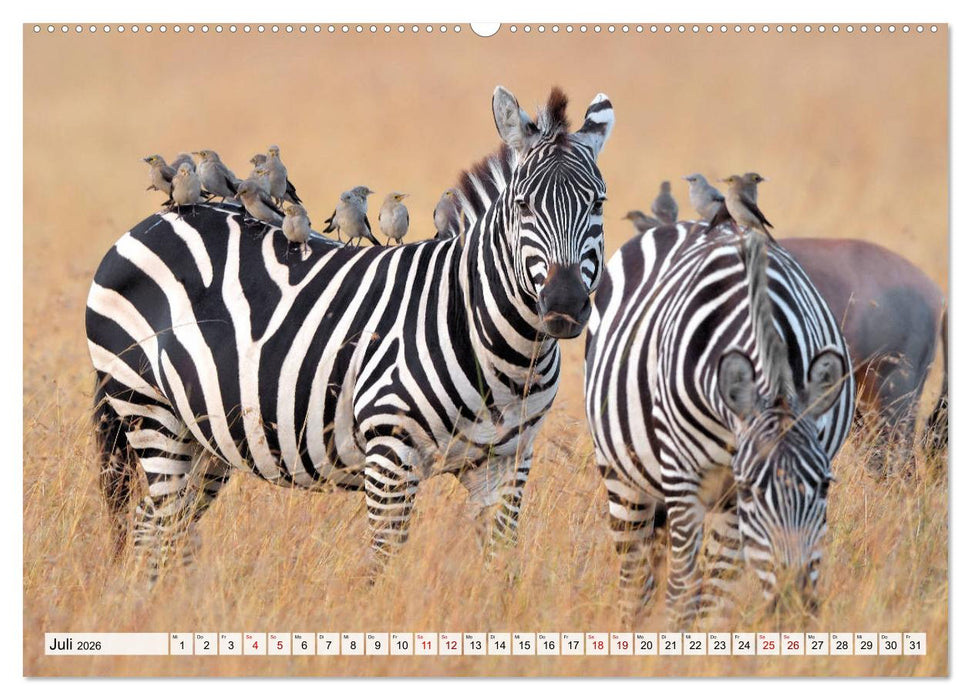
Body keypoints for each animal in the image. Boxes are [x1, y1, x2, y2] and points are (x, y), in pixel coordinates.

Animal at [86, 86, 615, 578]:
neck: (502, 349)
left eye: (599, 204)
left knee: (155, 525)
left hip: (205, 436)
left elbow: (502, 569)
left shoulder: (506, 462)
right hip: (147, 409)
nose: (564, 305)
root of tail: (148, 224)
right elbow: (382, 566)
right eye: (523, 205)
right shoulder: (391, 455)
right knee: (160, 524)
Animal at [584, 224, 855, 624]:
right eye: (751, 491)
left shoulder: (731, 500)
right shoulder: (687, 479)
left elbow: (715, 596)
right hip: (622, 476)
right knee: (635, 578)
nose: (793, 607)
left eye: (823, 486)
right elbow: (682, 590)